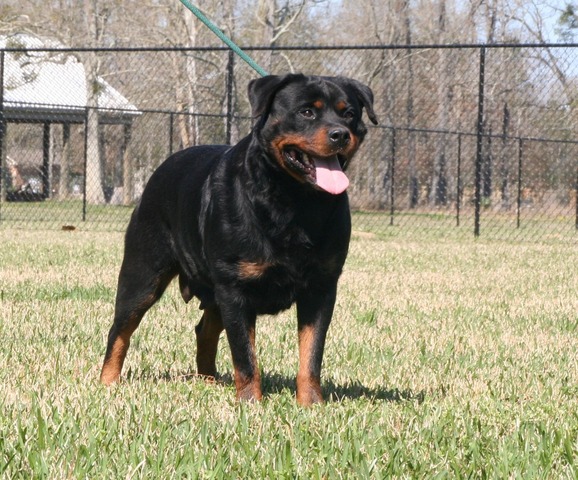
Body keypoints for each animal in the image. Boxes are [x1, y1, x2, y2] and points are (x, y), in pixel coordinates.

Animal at [99, 74, 378, 404]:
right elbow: (245, 354)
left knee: (205, 330)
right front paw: (251, 402)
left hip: (212, 291)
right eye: (307, 112)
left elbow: (311, 353)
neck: (295, 201)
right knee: (121, 329)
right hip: (143, 275)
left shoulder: (321, 287)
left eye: (349, 114)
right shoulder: (235, 289)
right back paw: (107, 382)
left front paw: (311, 403)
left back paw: (208, 380)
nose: (340, 134)